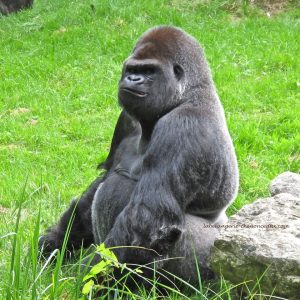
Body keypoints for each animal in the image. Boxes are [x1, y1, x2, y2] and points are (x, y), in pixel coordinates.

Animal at [38, 25, 238, 288]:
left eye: (149, 71)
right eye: (132, 70)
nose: (132, 79)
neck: (186, 95)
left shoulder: (182, 127)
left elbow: (147, 219)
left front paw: (85, 279)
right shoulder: (125, 119)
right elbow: (99, 184)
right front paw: (55, 242)